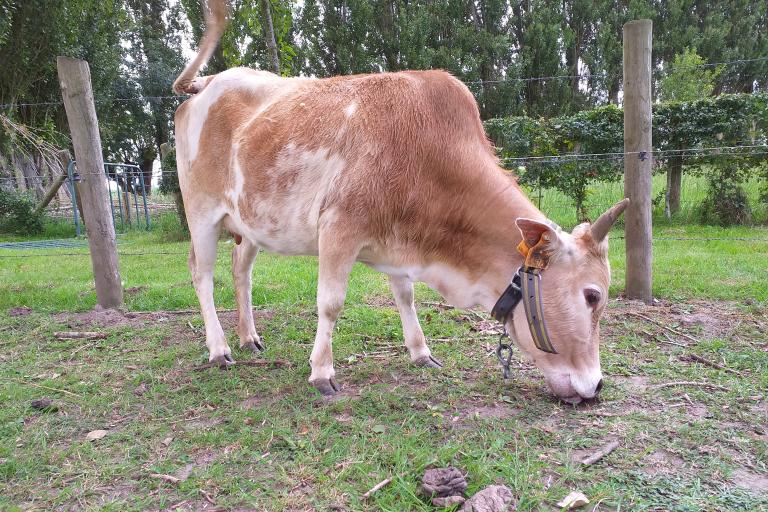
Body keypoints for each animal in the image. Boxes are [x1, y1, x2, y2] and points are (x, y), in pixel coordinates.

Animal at [171, 1, 628, 408]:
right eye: (592, 296)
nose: (597, 385)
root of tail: (208, 83)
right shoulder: (339, 226)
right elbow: (330, 303)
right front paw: (321, 373)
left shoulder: (396, 240)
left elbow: (405, 297)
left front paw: (421, 352)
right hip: (201, 212)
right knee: (202, 274)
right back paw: (219, 348)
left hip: (250, 221)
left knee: (240, 270)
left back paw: (249, 337)